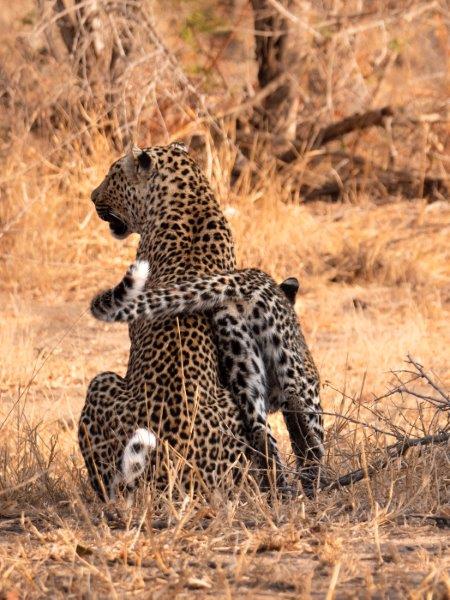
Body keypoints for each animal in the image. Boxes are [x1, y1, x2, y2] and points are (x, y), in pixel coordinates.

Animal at [90, 258, 324, 496]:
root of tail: (245, 278)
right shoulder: (310, 383)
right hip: (289, 364)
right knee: (296, 410)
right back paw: (313, 483)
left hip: (241, 361)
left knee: (261, 434)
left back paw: (280, 493)